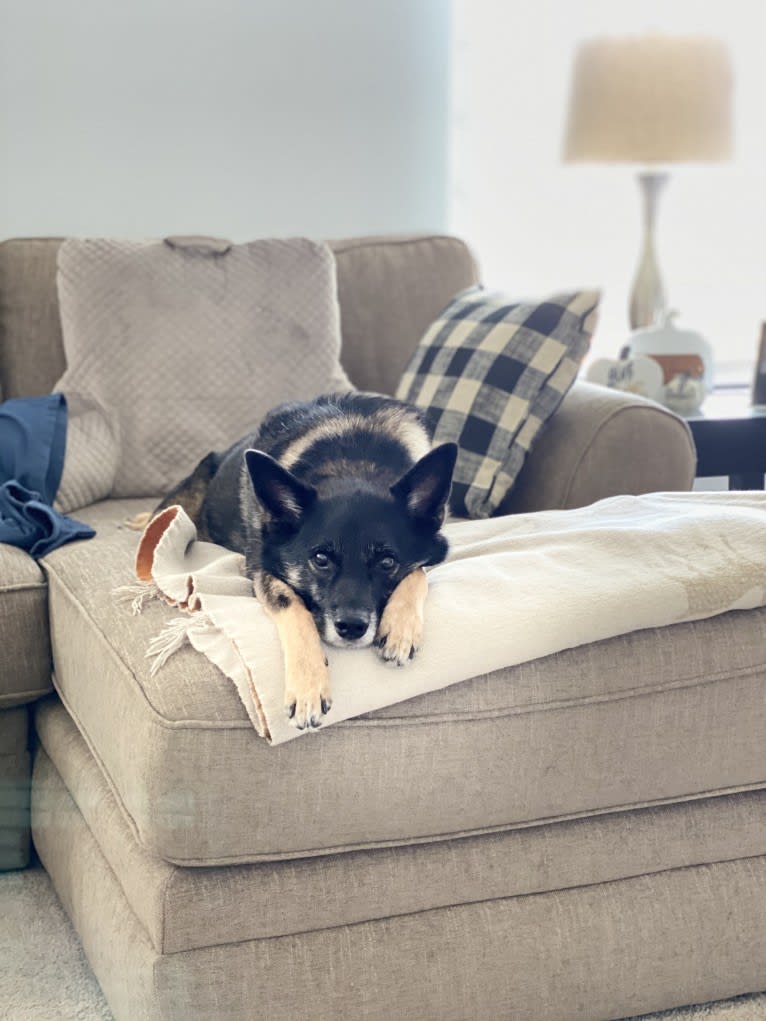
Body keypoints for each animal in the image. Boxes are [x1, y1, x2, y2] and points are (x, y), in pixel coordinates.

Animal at [156, 394, 455, 731]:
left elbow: (418, 573)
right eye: (321, 559)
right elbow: (292, 608)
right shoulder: (262, 566)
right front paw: (308, 686)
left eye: (387, 562)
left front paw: (401, 629)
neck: (354, 460)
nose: (351, 628)